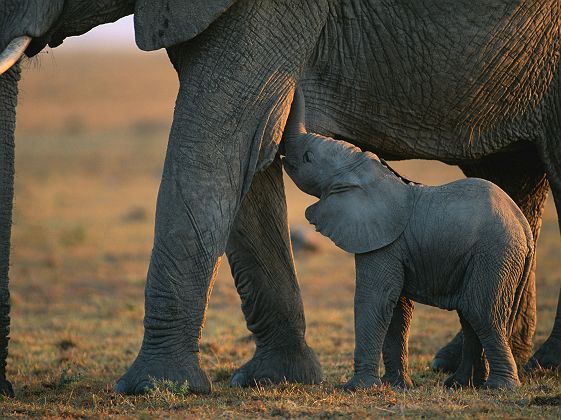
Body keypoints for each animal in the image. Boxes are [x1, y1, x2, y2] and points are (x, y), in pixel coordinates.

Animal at [282, 87, 532, 388]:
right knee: (469, 316)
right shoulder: (394, 246)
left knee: (482, 313)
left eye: (308, 157)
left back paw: (499, 386)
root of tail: (524, 227)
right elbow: (397, 308)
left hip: (495, 254)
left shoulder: (384, 242)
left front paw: (356, 388)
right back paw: (460, 384)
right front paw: (396, 385)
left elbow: (374, 299)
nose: (295, 86)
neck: (369, 173)